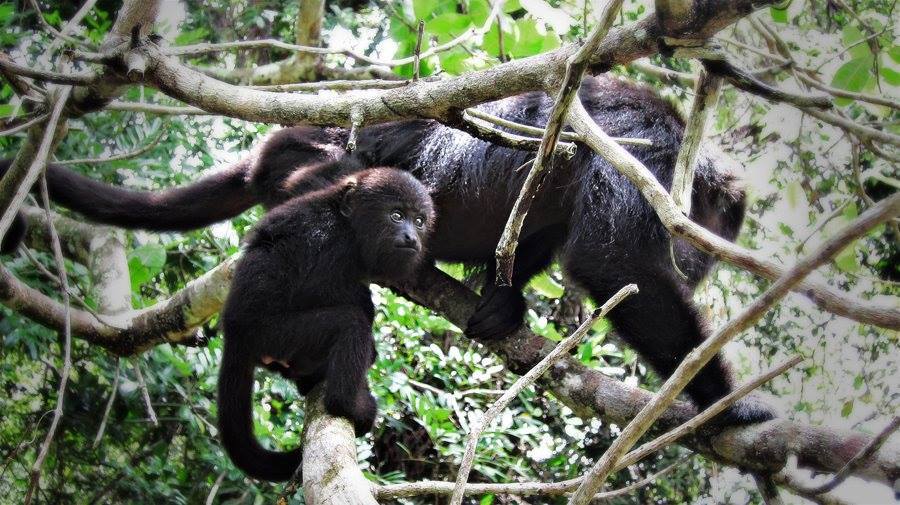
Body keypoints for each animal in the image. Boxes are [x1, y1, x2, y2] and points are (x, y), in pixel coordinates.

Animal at [0, 75, 774, 425]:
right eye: (696, 239)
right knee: (329, 188)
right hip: (309, 163)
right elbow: (614, 263)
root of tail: (276, 145)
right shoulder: (643, 146)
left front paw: (503, 302)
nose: (699, 267)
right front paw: (726, 402)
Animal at [217, 167, 435, 482]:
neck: (348, 223)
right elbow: (322, 291)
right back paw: (348, 403)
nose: (411, 236)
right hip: (272, 336)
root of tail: (232, 334)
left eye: (419, 221)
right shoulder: (331, 243)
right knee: (351, 324)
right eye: (396, 215)